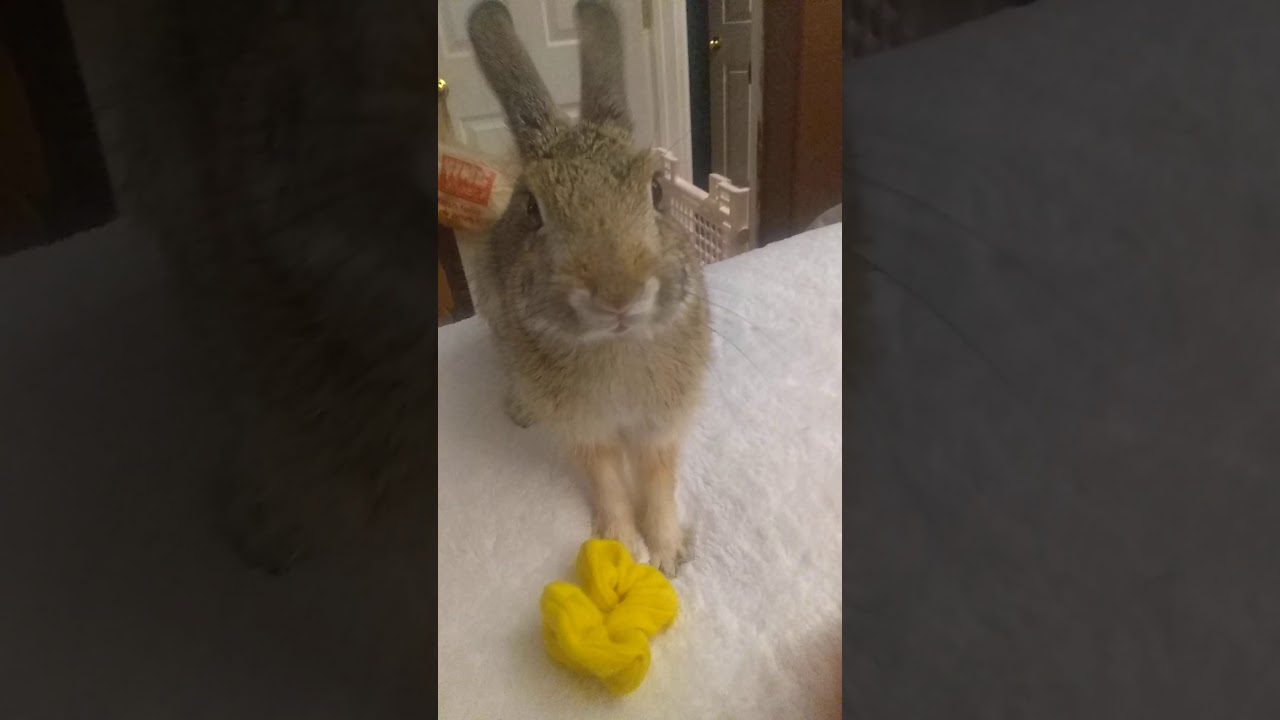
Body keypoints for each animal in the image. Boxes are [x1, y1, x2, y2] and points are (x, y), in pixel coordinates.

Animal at [466, 0, 712, 576]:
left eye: (657, 190)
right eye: (533, 209)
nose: (618, 294)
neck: (615, 344)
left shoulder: (659, 426)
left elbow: (657, 480)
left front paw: (668, 555)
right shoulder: (585, 429)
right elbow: (606, 481)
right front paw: (621, 544)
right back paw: (520, 409)